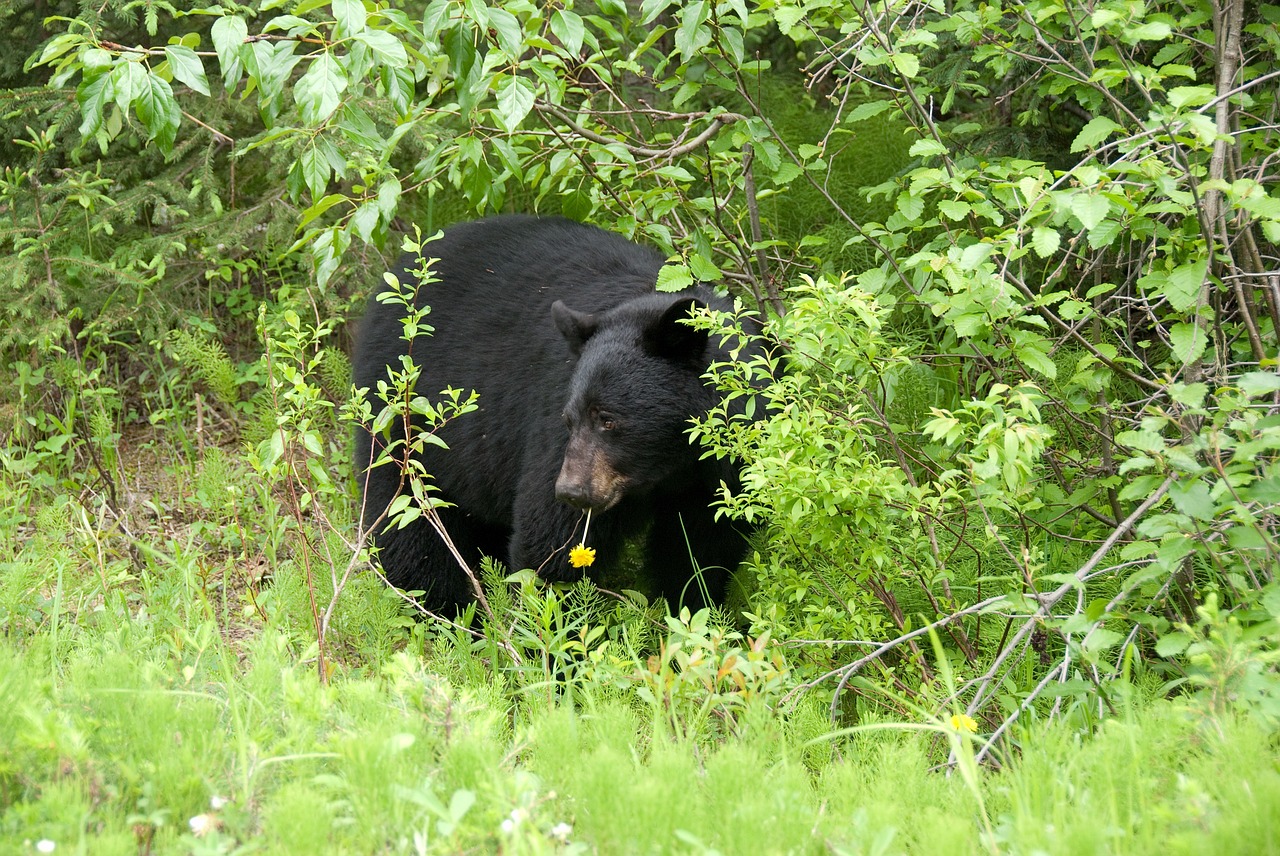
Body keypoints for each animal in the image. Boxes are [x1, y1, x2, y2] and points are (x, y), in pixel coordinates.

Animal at [353, 217, 757, 611]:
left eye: (608, 419)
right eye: (570, 418)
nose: (571, 491)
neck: (672, 466)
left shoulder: (719, 472)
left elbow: (701, 550)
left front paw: (695, 607)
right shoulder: (554, 425)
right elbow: (553, 540)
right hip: (401, 419)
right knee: (409, 519)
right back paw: (437, 612)